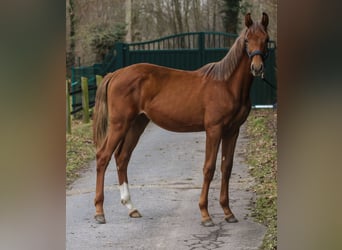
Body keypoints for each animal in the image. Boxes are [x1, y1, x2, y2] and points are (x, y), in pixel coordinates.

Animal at [93, 12, 270, 227]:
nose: (257, 68)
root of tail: (116, 73)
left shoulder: (232, 131)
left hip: (137, 124)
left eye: (266, 40)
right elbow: (209, 168)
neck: (227, 85)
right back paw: (100, 212)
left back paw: (131, 208)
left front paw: (228, 212)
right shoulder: (214, 130)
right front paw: (205, 214)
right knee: (103, 157)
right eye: (247, 40)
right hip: (119, 124)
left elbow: (226, 168)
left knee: (122, 157)